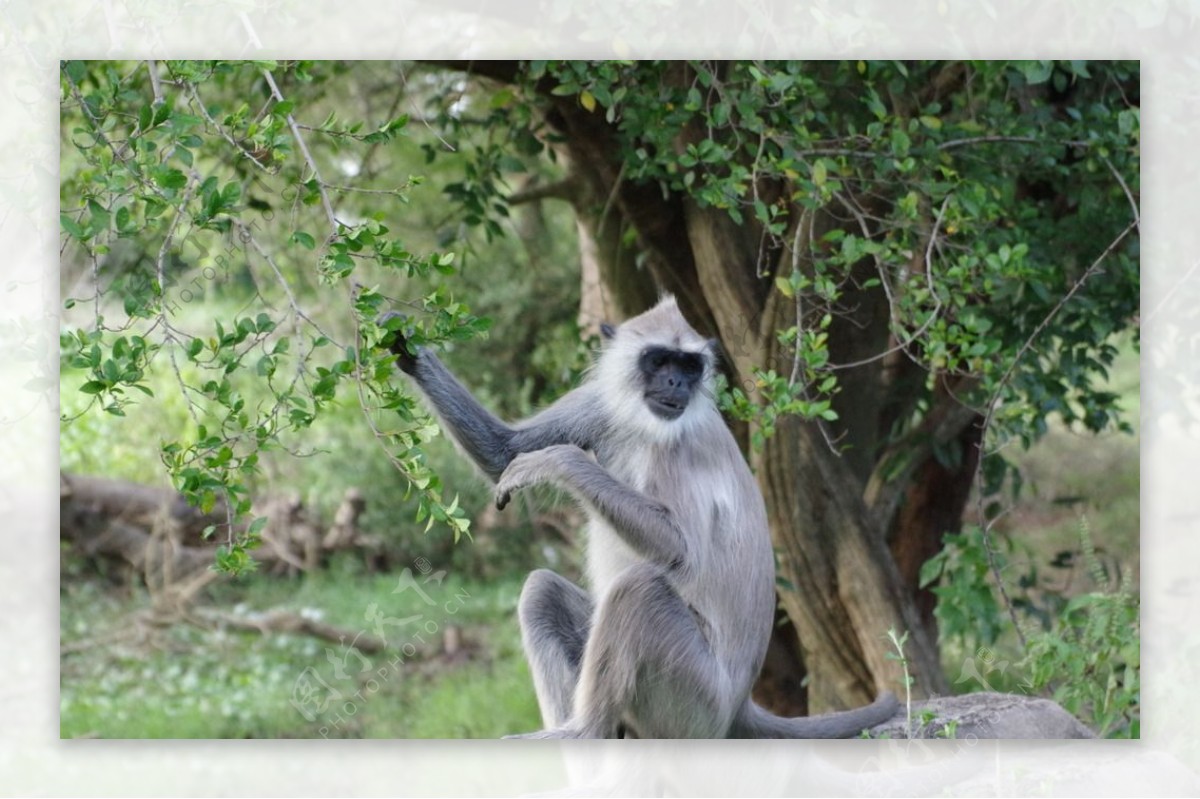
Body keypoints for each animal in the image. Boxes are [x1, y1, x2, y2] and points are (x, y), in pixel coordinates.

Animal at [379, 295, 897, 739]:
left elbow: (679, 550)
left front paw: (558, 461)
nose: (677, 384)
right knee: (544, 590)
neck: (646, 425)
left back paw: (582, 732)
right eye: (659, 361)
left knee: (639, 591)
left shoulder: (681, 447)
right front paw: (404, 343)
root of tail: (740, 705)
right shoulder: (602, 400)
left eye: (688, 366)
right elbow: (501, 451)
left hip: (695, 699)